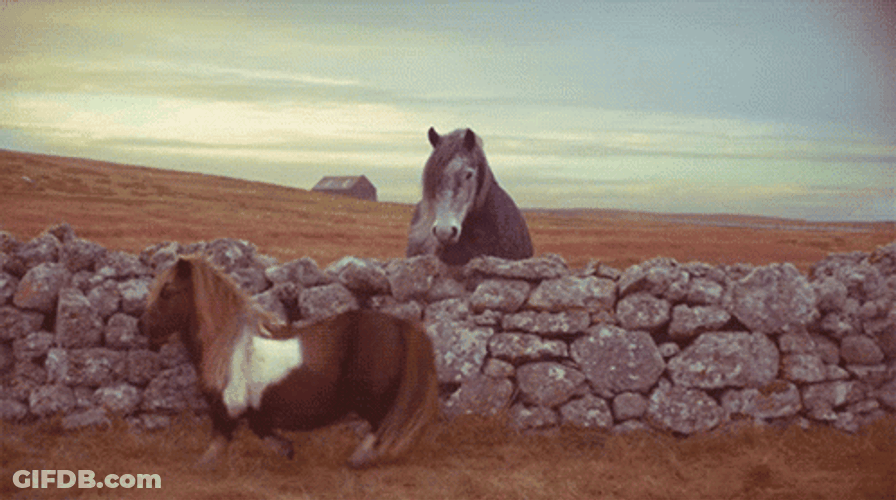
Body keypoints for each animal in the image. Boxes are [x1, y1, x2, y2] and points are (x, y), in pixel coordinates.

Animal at [138, 255, 438, 469]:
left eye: (167, 291)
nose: (142, 327)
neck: (228, 343)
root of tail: (399, 325)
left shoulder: (229, 405)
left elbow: (222, 437)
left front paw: (204, 466)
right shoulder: (250, 408)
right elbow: (259, 428)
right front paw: (287, 449)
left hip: (372, 400)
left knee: (380, 428)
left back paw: (359, 460)